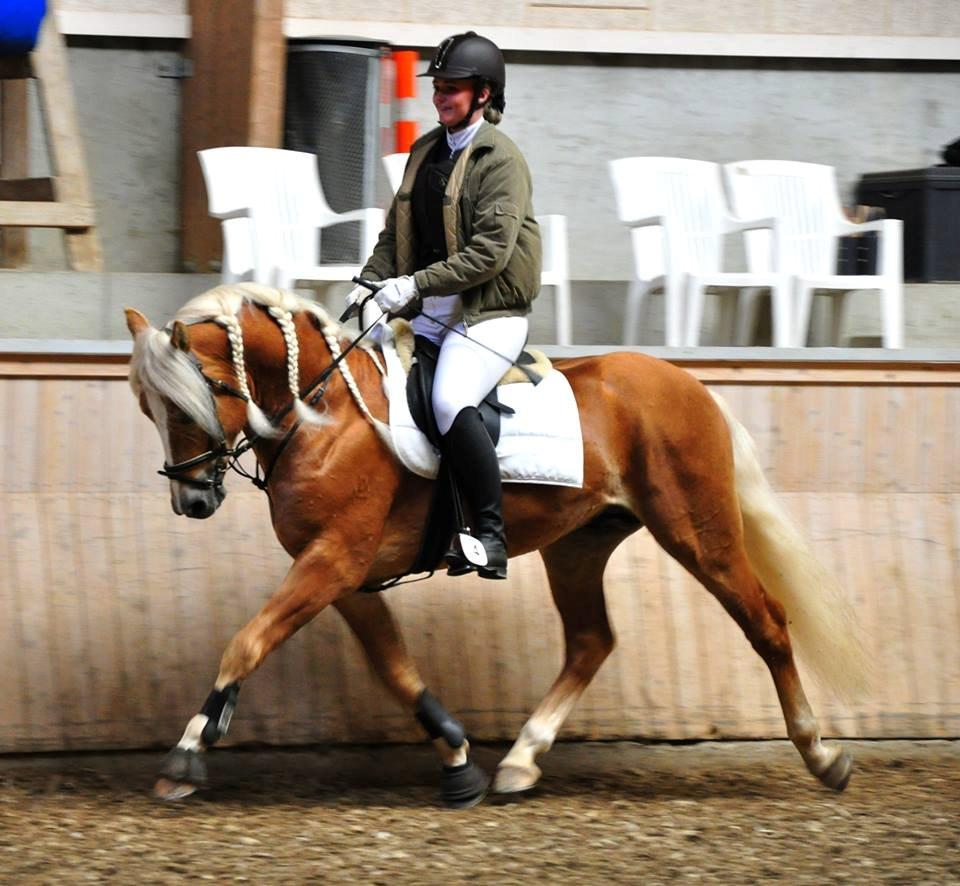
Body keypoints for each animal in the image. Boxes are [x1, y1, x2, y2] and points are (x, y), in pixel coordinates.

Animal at [124, 280, 868, 808]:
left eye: (193, 400)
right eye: (145, 409)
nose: (193, 501)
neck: (326, 413)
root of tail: (689, 385)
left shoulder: (333, 560)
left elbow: (247, 642)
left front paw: (186, 755)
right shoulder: (344, 575)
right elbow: (394, 668)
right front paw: (457, 761)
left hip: (697, 530)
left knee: (765, 620)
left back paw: (823, 757)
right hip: (579, 546)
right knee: (591, 641)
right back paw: (520, 761)